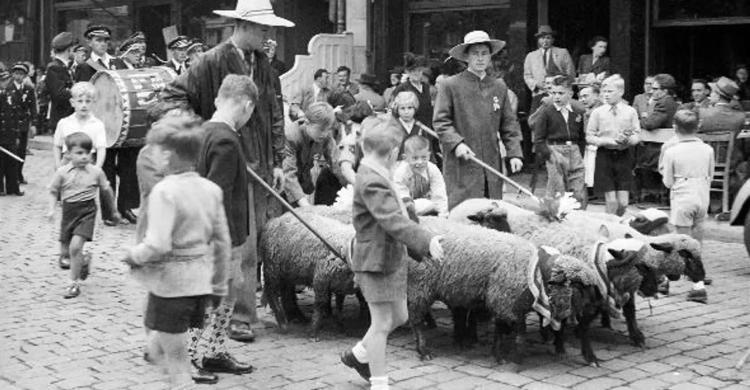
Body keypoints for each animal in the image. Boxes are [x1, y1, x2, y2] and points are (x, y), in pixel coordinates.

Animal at [260, 210, 362, 338]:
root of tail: (274, 220)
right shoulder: (321, 279)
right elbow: (320, 304)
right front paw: (313, 331)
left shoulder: (340, 285)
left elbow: (339, 306)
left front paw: (341, 326)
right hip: (272, 268)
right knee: (272, 293)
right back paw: (283, 324)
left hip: (287, 272)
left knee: (286, 292)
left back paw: (296, 316)